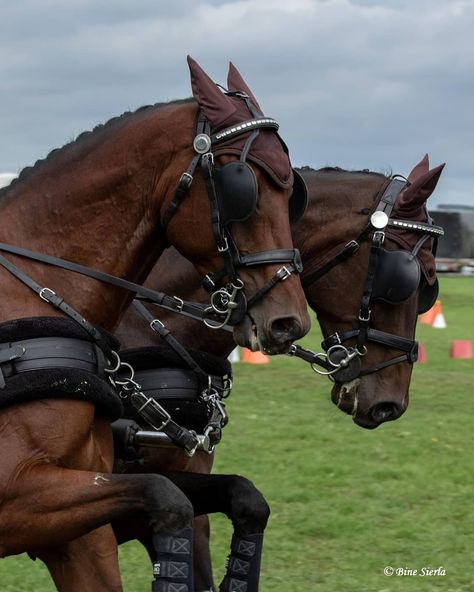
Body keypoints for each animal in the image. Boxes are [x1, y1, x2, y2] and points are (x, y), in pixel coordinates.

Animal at [0, 56, 310, 592]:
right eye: (242, 186)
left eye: (293, 192)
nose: (290, 321)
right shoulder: (18, 498)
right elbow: (168, 498)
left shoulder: (78, 531)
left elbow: (222, 497)